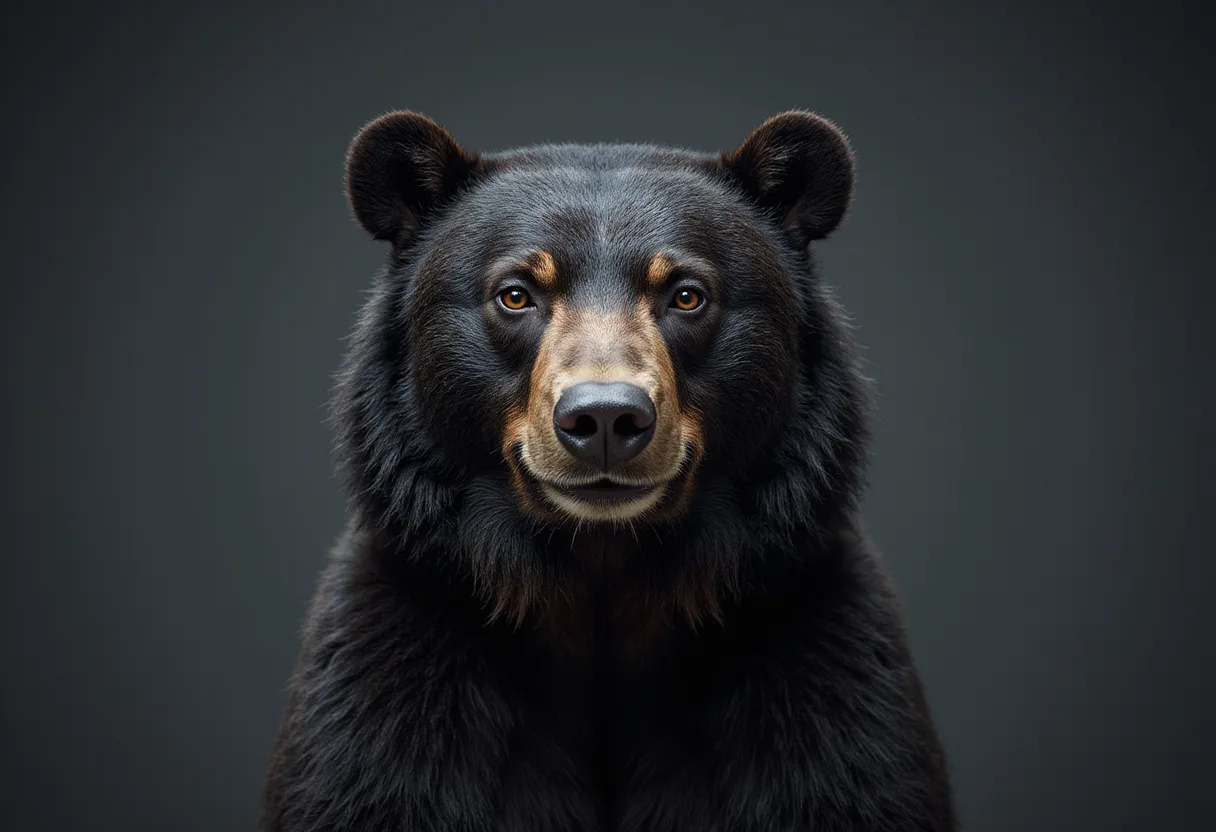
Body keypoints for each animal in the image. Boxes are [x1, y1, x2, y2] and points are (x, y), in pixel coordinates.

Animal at [261, 110, 955, 832]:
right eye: (516, 294)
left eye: (686, 295)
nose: (603, 419)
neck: (602, 578)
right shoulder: (387, 712)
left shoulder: (825, 690)